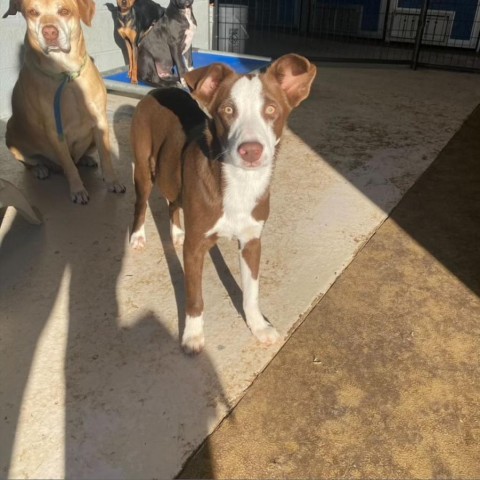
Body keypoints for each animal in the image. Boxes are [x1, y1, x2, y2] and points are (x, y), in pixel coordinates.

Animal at [2, 0, 125, 202]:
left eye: (64, 11)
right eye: (33, 12)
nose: (49, 32)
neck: (66, 73)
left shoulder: (100, 120)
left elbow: (106, 157)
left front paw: (113, 181)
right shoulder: (55, 131)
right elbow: (69, 165)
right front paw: (77, 190)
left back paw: (85, 159)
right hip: (11, 133)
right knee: (32, 163)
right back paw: (41, 169)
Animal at [129, 54, 316, 352]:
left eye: (271, 109)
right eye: (228, 110)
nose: (251, 151)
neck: (240, 183)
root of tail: (158, 91)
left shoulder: (252, 241)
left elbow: (251, 293)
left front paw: (258, 326)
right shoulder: (196, 248)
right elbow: (194, 297)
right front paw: (193, 336)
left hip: (171, 170)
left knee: (173, 200)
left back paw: (176, 233)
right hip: (145, 166)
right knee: (142, 201)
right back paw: (137, 236)